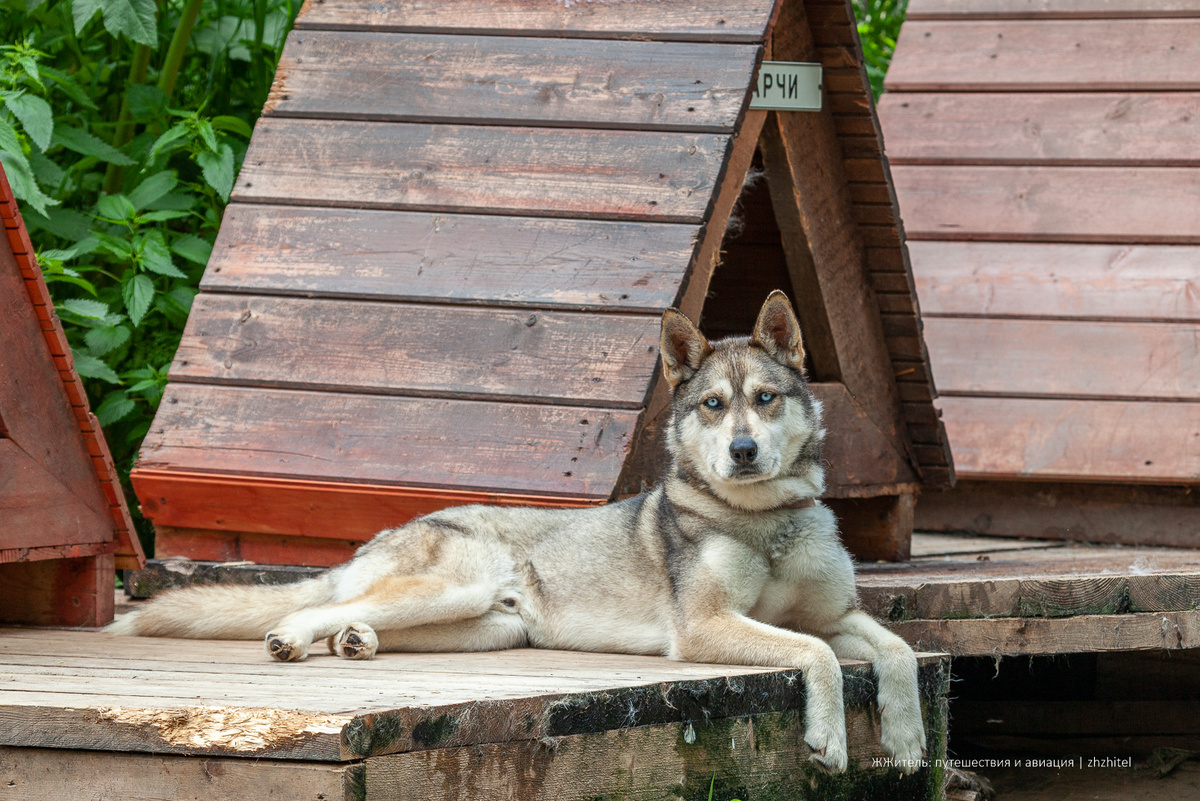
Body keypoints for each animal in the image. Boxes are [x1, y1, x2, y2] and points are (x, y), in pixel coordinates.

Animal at [108, 291, 921, 772]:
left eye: (765, 398)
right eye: (714, 405)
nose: (743, 451)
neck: (764, 521)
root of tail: (401, 525)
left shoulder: (839, 613)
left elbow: (898, 650)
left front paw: (909, 738)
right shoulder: (707, 626)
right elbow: (818, 655)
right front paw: (830, 736)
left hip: (486, 628)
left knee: (357, 618)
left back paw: (353, 644)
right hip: (450, 588)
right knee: (315, 605)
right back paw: (295, 639)